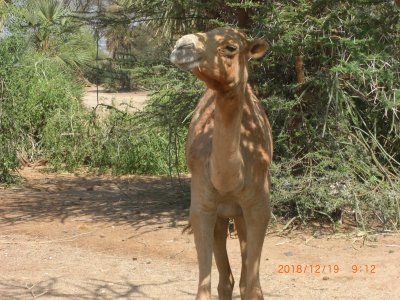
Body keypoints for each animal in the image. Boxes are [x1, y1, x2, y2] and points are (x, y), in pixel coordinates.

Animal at [170, 28, 274, 300]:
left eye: (230, 47)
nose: (182, 46)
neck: (229, 182)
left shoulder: (259, 206)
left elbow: (253, 289)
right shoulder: (201, 206)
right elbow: (205, 289)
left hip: (241, 212)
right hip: (221, 213)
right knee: (225, 276)